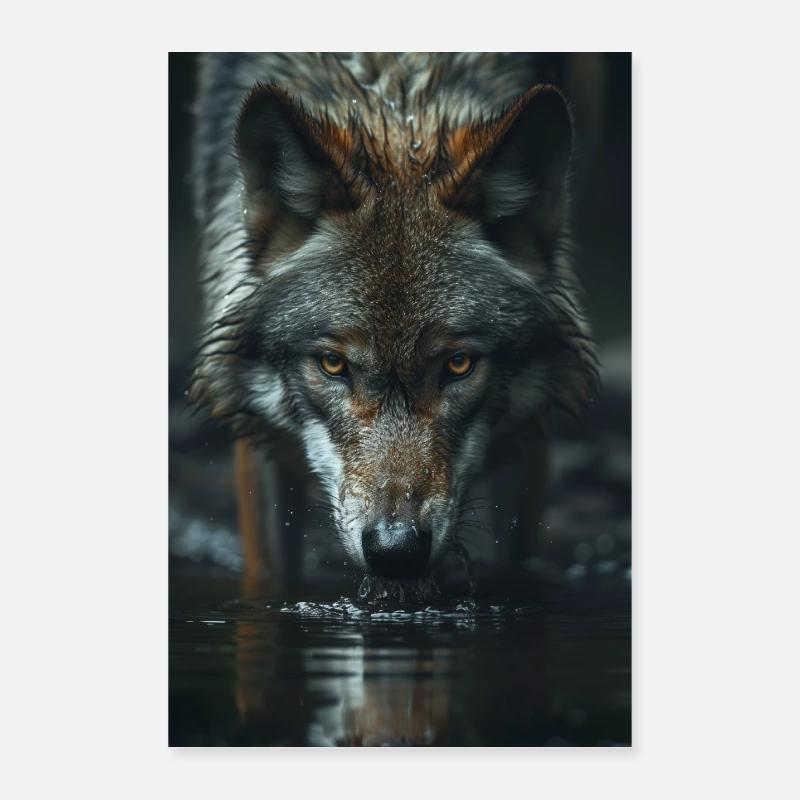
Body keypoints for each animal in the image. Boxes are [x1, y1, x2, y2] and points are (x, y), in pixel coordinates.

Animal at [189, 53, 597, 589]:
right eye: (333, 365)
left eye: (459, 365)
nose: (395, 549)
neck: (397, 94)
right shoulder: (257, 434)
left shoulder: (528, 436)